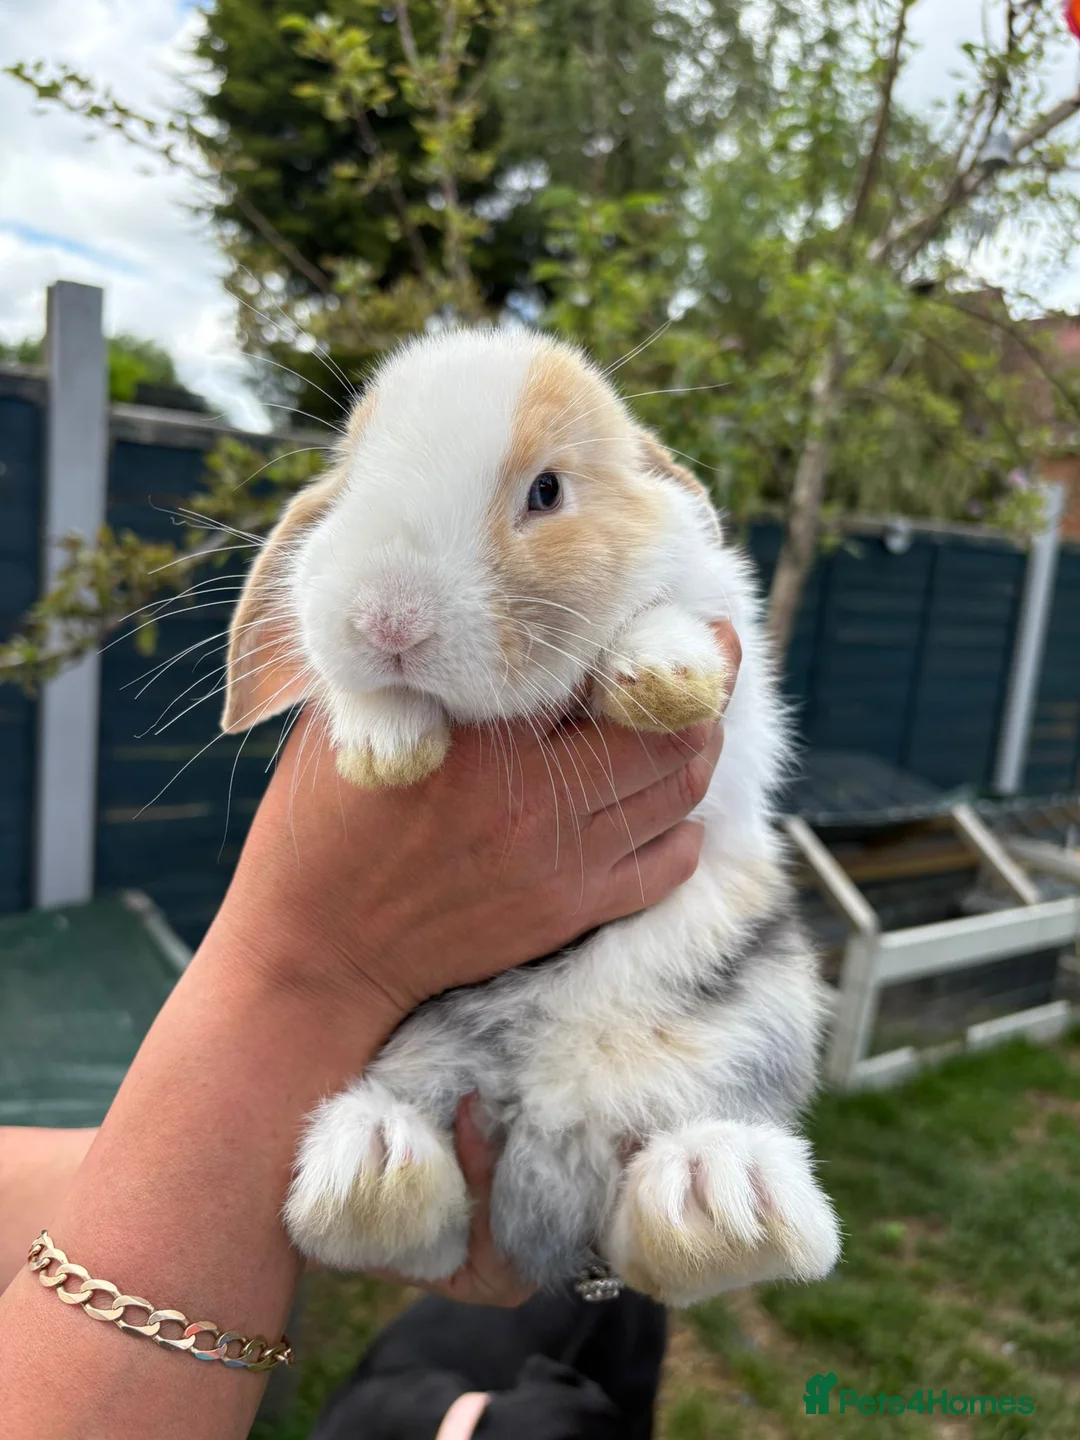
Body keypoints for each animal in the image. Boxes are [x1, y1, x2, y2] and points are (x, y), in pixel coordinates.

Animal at [221, 326, 841, 1307]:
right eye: (351, 481)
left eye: (547, 491)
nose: (388, 620)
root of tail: (559, 1122)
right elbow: (353, 695)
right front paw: (384, 742)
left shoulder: (730, 660)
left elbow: (674, 622)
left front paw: (662, 678)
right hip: (421, 1061)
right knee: (426, 1229)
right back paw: (370, 1170)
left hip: (761, 1010)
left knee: (648, 1225)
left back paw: (718, 1196)